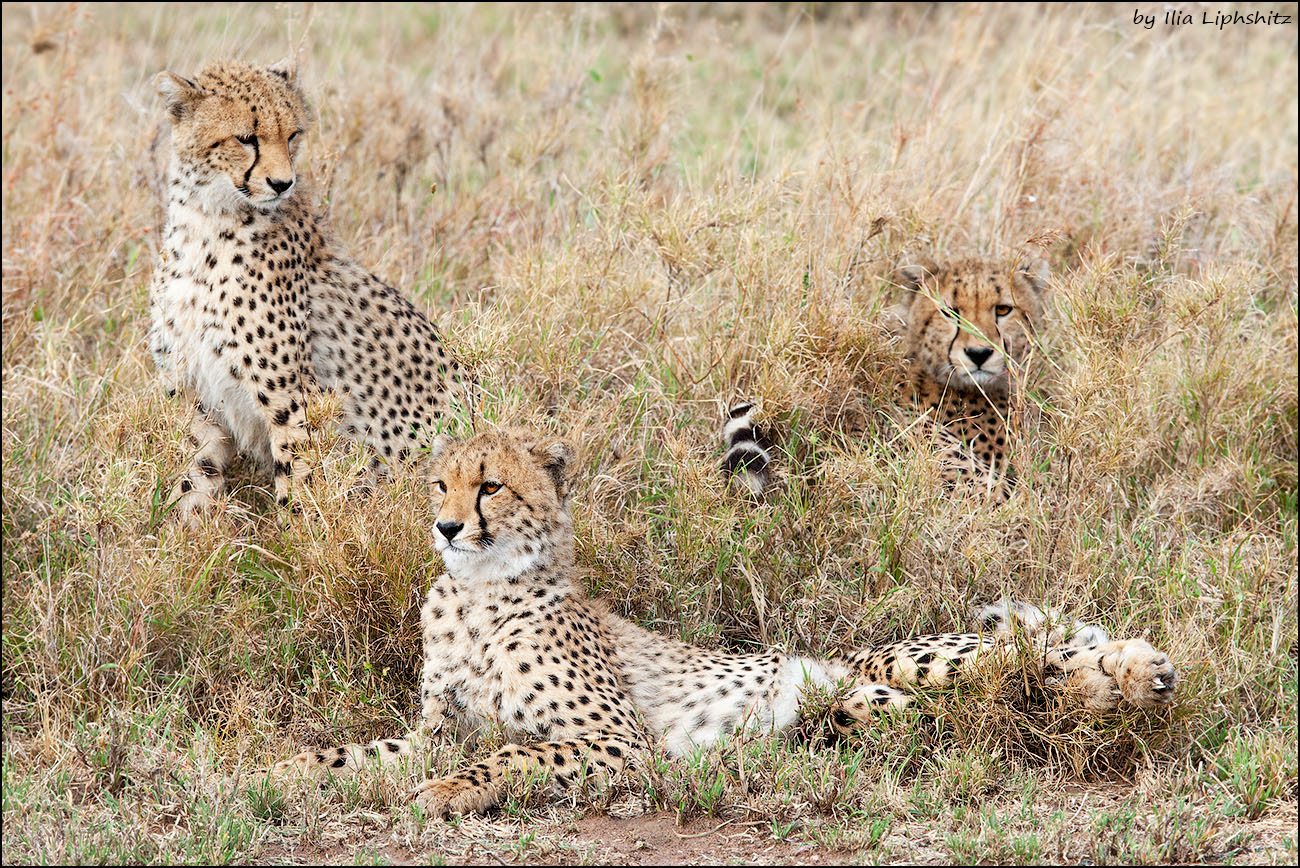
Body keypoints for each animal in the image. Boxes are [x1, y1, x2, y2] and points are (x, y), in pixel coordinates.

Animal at [149, 57, 465, 519]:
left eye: (292, 134)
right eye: (246, 138)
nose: (283, 183)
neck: (207, 221)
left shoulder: (292, 397)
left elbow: (298, 480)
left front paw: (297, 534)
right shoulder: (197, 394)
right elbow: (196, 474)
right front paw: (184, 530)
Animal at [269, 428, 1175, 821]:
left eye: (490, 486)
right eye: (439, 484)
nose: (447, 527)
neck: (476, 598)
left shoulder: (618, 742)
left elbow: (513, 753)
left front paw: (453, 790)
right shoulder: (438, 728)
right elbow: (358, 751)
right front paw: (278, 772)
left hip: (908, 662)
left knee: (1032, 658)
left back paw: (1139, 671)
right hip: (867, 707)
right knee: (1013, 694)